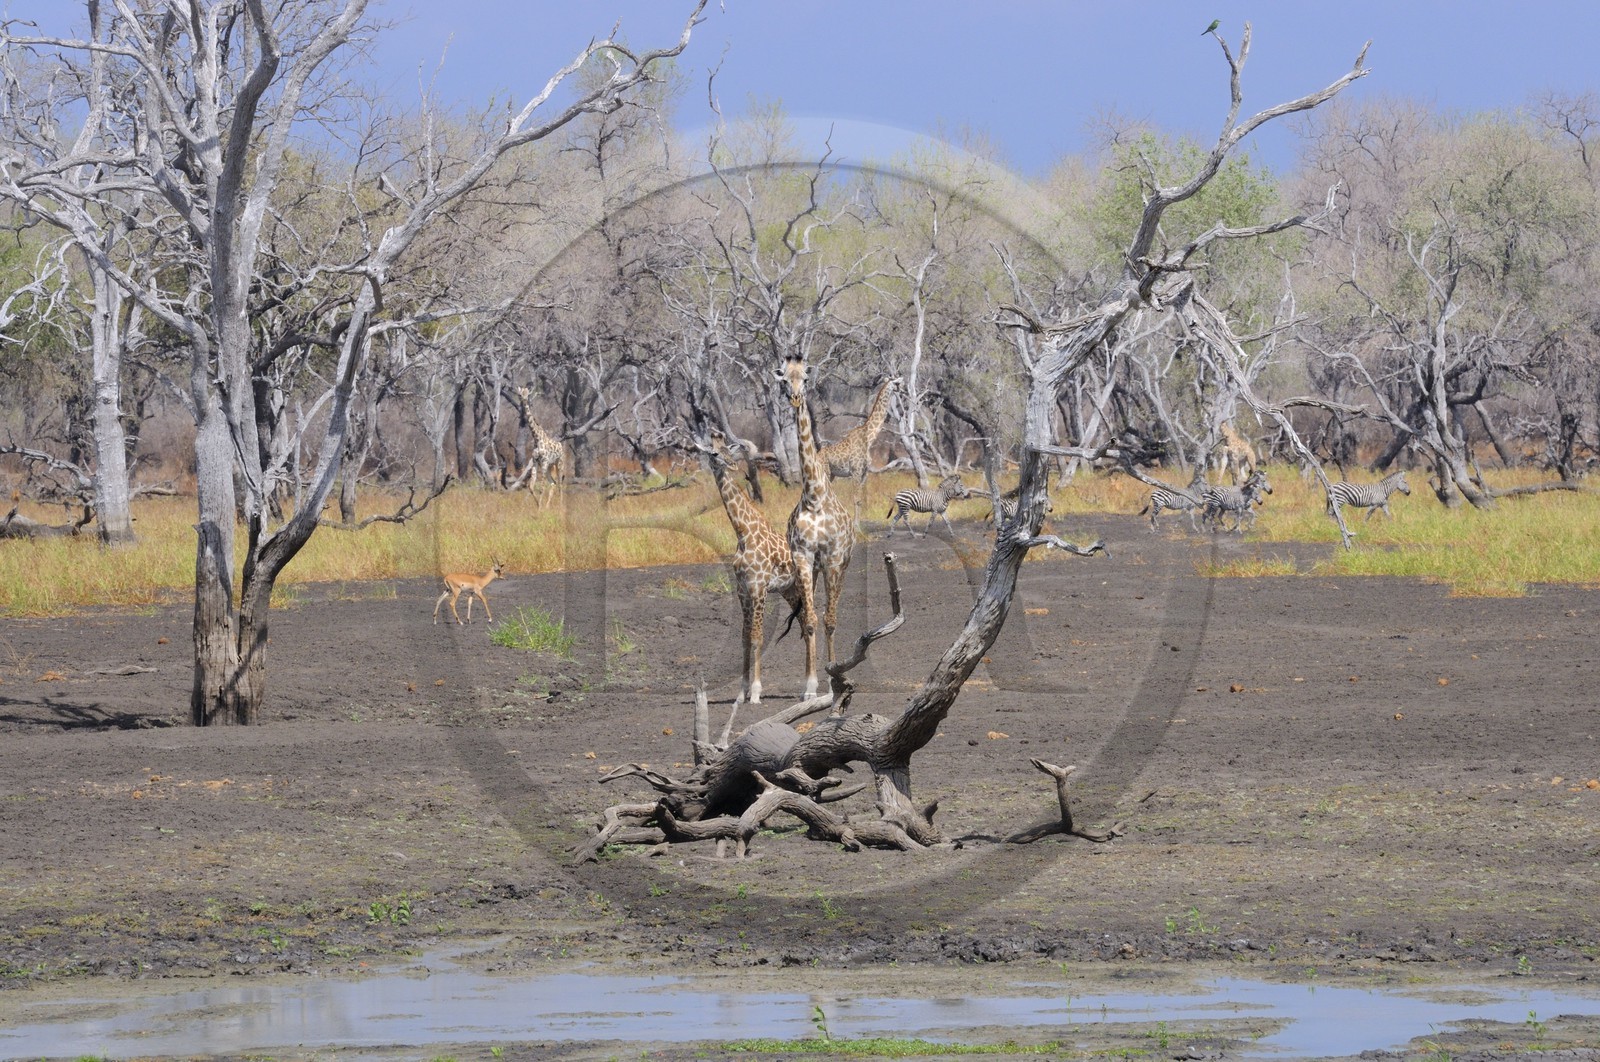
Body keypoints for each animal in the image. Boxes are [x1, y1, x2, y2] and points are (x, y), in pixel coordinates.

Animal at [697, 431, 801, 706]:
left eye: (727, 450)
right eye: (713, 452)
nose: (730, 465)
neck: (743, 532)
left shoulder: (759, 587)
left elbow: (757, 637)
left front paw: (755, 692)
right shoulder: (742, 590)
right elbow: (744, 638)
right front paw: (741, 692)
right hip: (789, 591)